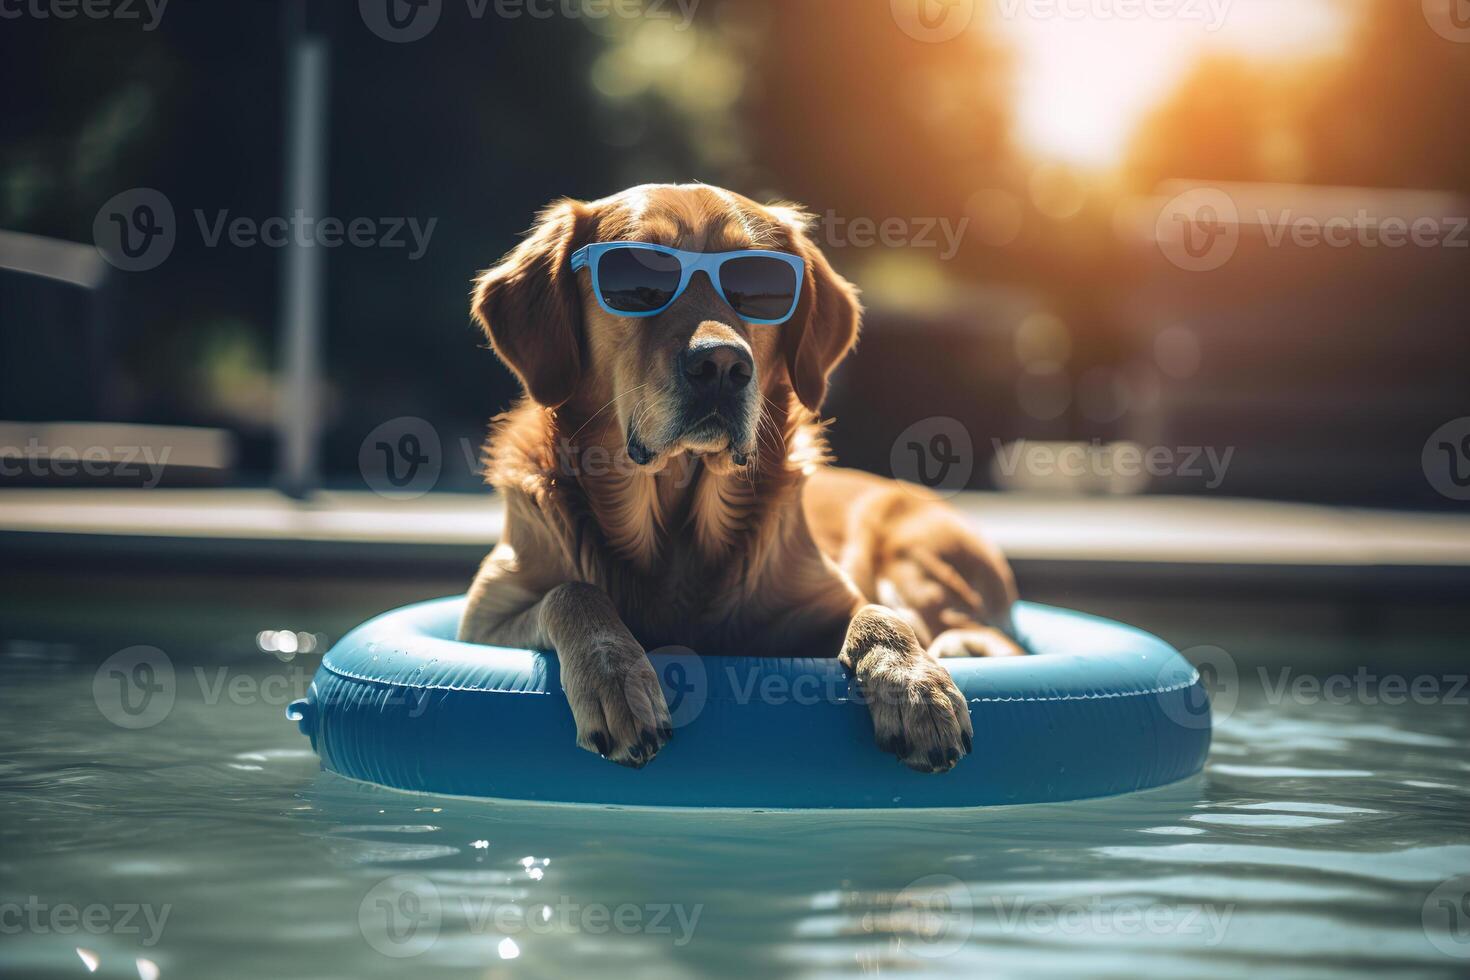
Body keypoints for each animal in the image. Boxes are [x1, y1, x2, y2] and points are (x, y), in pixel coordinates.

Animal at [458, 183, 1023, 775]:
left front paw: (915, 685)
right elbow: (571, 591)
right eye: (637, 284)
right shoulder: (481, 622)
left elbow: (877, 614)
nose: (722, 366)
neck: (678, 523)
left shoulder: (822, 605)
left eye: (759, 288)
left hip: (914, 561)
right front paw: (615, 677)